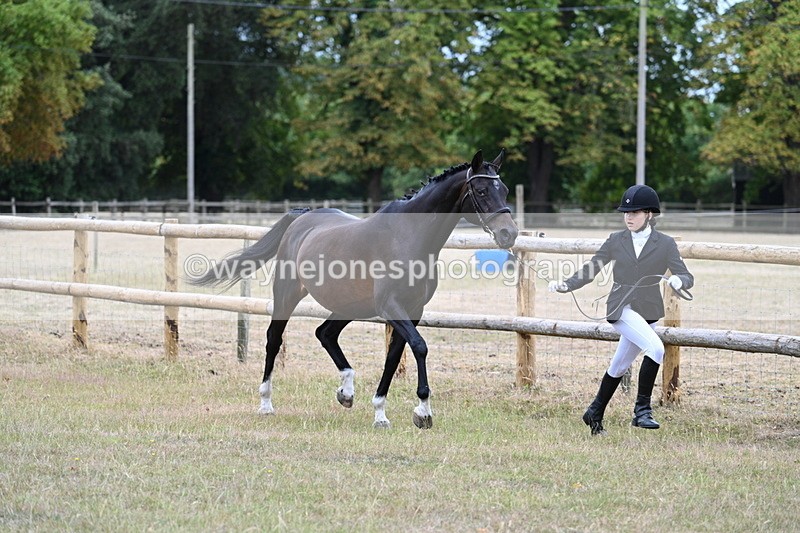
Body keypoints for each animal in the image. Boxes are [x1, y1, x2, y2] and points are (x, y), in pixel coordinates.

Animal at [191, 149, 518, 429]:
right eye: (481, 191)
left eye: (504, 189)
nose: (509, 234)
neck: (407, 236)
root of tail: (302, 217)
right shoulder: (392, 307)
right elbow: (420, 346)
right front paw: (423, 412)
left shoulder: (412, 311)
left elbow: (394, 357)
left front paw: (381, 414)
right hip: (287, 295)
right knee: (275, 339)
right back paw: (266, 403)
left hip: (348, 305)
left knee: (325, 333)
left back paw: (346, 392)